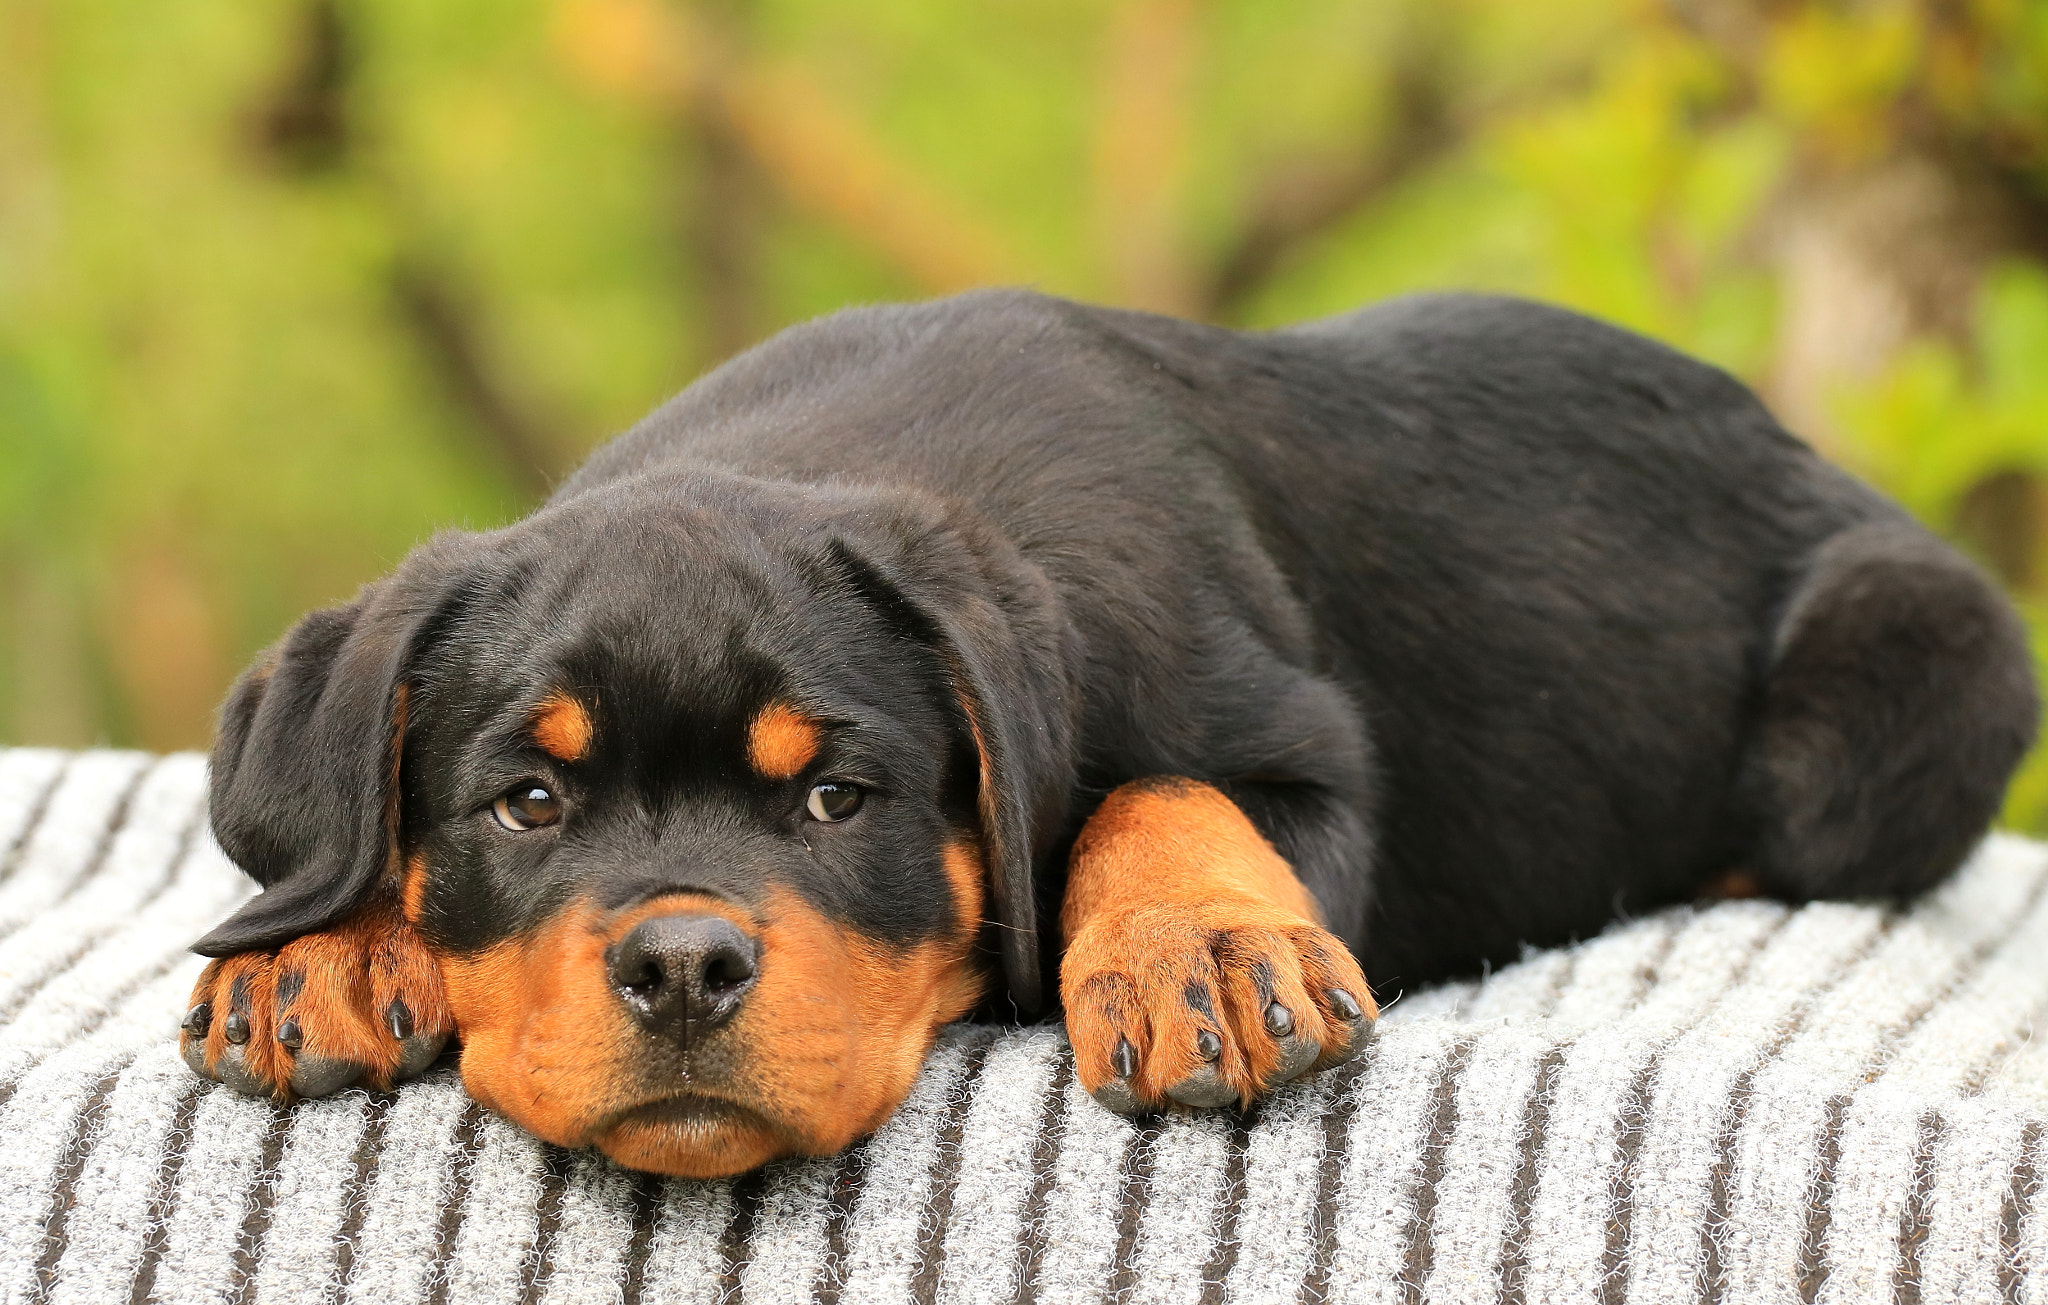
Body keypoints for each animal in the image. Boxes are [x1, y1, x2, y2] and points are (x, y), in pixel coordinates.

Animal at [180, 290, 2031, 1171]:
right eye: (526, 804)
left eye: (839, 800)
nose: (685, 969)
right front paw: (321, 944)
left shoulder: (1309, 756)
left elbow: (1157, 787)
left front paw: (1198, 951)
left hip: (1914, 668)